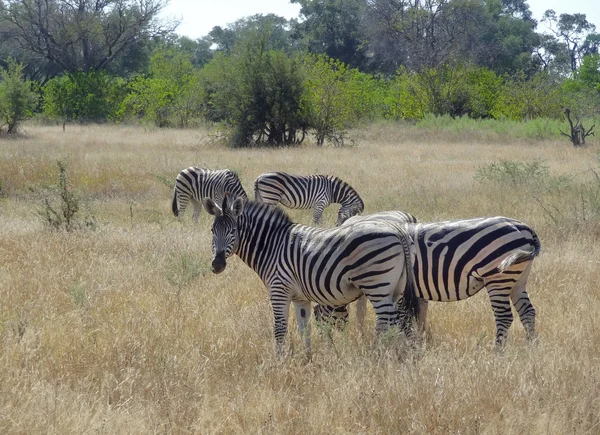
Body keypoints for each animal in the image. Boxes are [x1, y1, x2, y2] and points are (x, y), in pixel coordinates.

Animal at [202, 196, 418, 352]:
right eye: (212, 230)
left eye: (233, 230)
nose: (217, 264)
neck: (272, 245)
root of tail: (397, 229)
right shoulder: (300, 298)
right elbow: (304, 328)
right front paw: (308, 359)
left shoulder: (279, 290)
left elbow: (279, 329)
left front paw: (279, 362)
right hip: (395, 289)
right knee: (399, 320)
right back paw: (397, 353)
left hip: (377, 285)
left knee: (386, 322)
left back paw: (379, 354)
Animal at [314, 213, 540, 346]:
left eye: (317, 317)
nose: (325, 344)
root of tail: (523, 227)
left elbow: (396, 319)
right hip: (518, 278)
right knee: (527, 312)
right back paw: (532, 347)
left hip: (498, 277)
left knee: (504, 317)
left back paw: (498, 352)